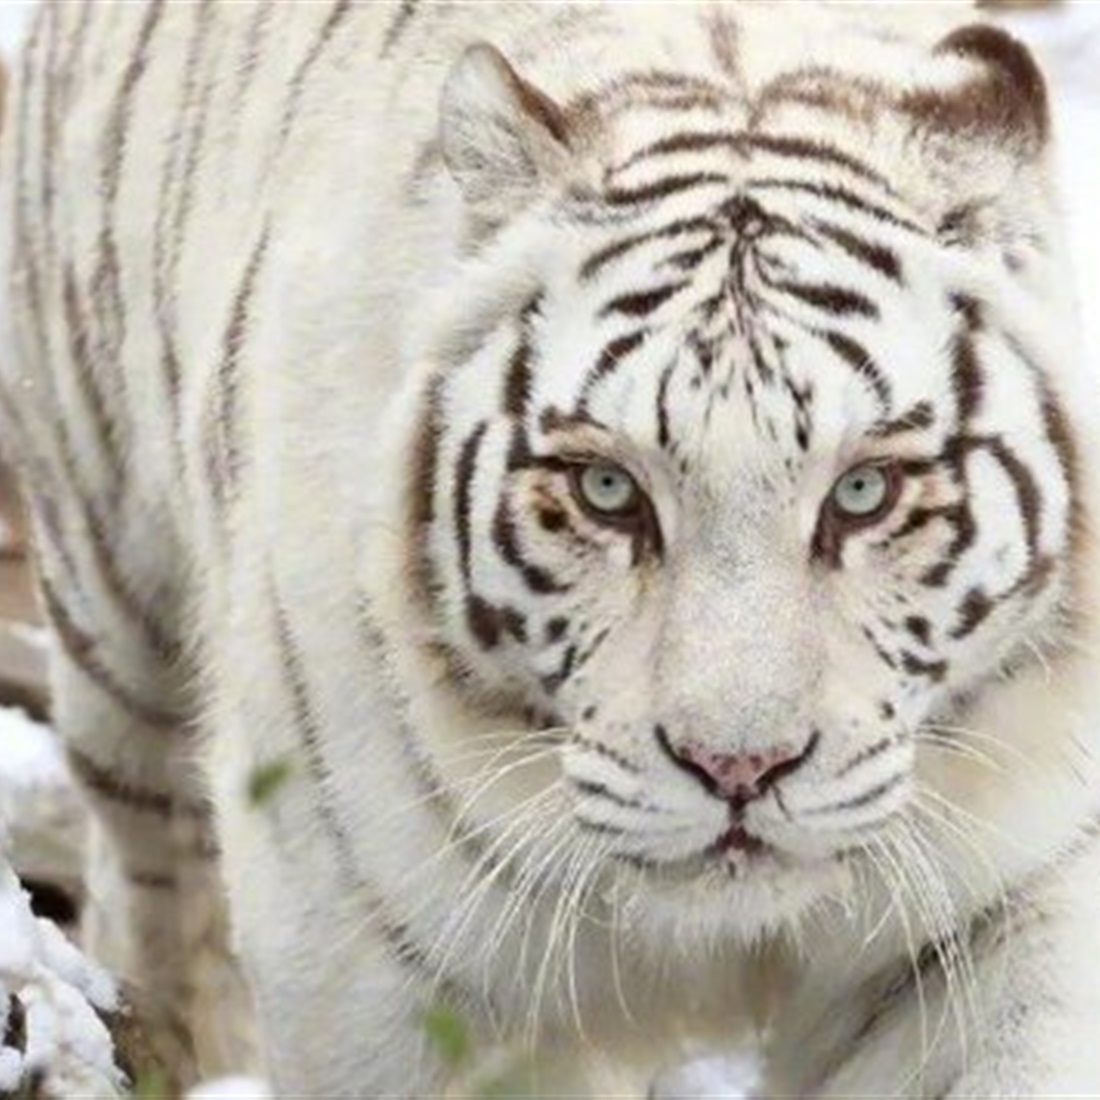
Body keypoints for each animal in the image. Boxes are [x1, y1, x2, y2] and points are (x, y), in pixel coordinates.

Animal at [2, 0, 1099, 1096]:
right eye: (605, 489)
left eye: (864, 490)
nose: (738, 768)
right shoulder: (378, 967)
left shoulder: (1008, 907)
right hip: (111, 597)